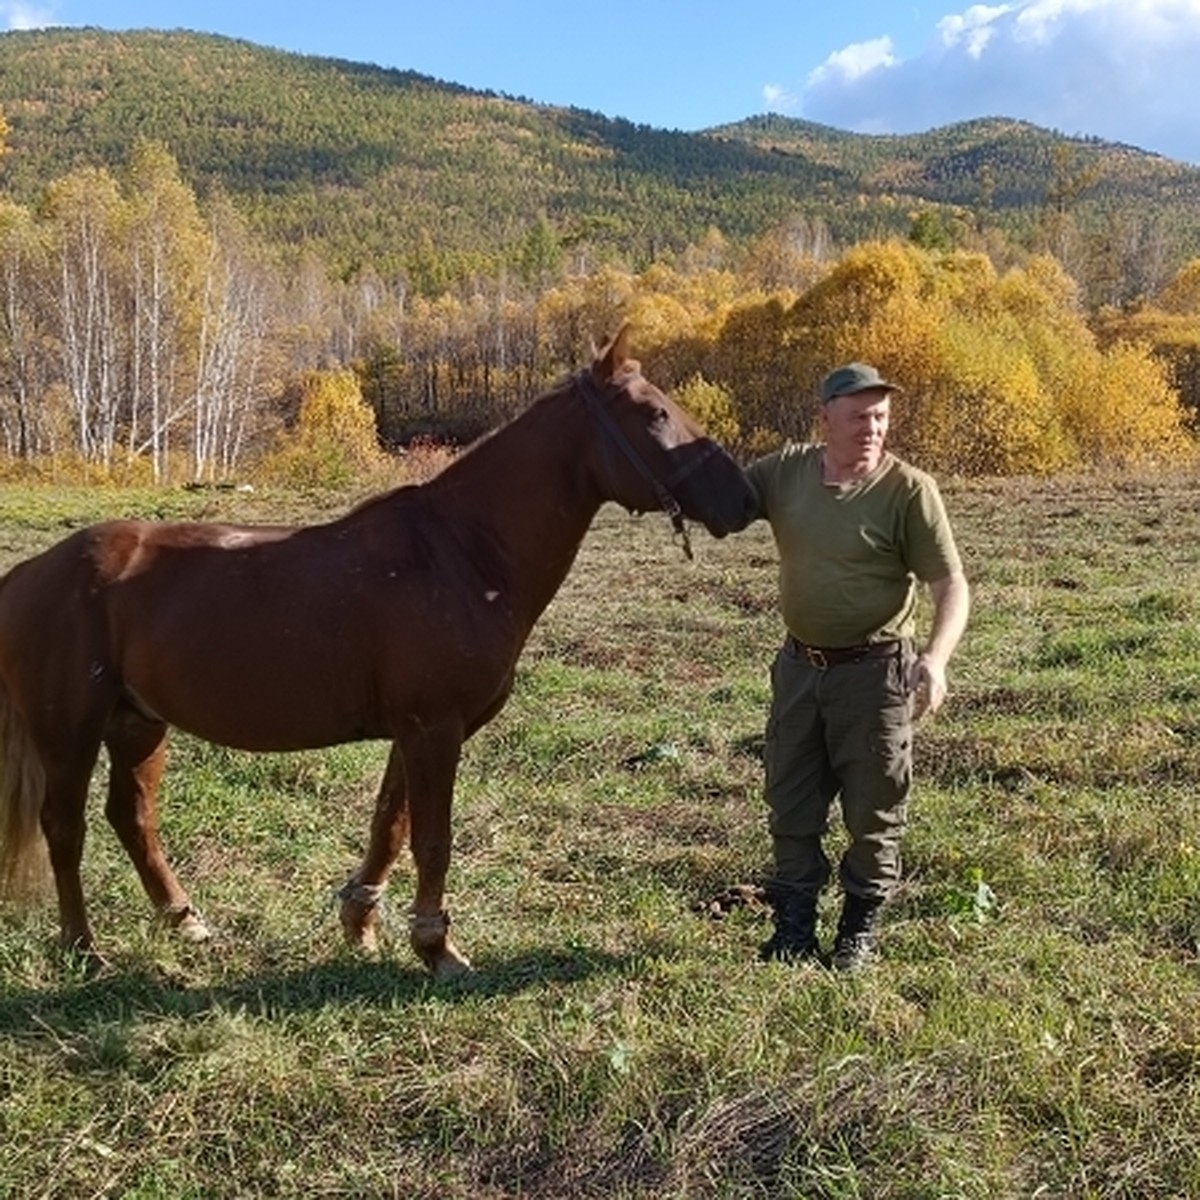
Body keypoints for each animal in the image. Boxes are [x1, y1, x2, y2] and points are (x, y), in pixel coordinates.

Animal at [0, 326, 753, 974]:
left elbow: (388, 830)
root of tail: (36, 569)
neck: (460, 553)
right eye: (653, 413)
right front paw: (437, 949)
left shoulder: (415, 732)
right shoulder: (433, 730)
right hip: (71, 730)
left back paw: (185, 920)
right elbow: (432, 840)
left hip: (138, 723)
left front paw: (361, 924)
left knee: (132, 819)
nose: (744, 498)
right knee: (64, 828)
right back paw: (83, 947)